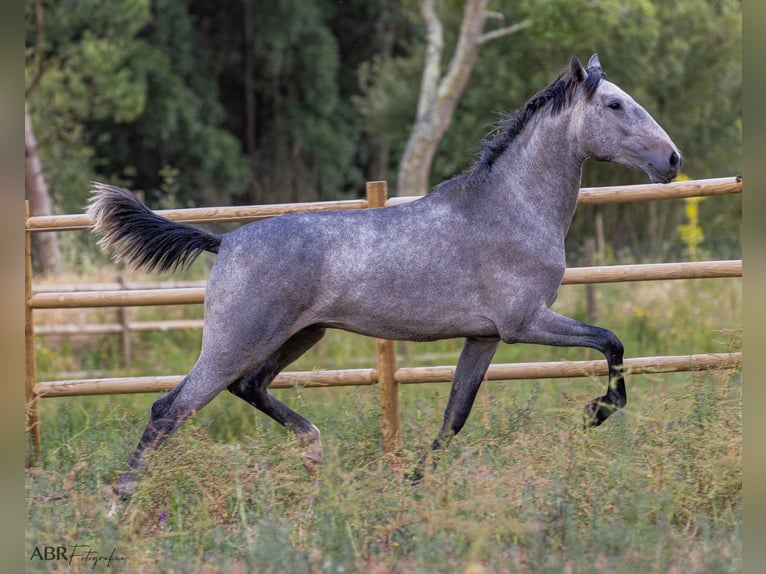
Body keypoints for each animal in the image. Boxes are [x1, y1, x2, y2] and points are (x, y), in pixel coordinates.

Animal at [90, 51, 684, 498]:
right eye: (614, 104)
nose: (673, 160)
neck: (512, 206)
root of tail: (226, 242)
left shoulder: (484, 337)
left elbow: (454, 416)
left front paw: (413, 486)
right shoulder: (526, 323)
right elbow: (611, 342)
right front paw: (595, 412)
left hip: (299, 335)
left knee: (248, 386)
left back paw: (314, 450)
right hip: (237, 339)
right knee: (170, 409)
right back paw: (118, 510)